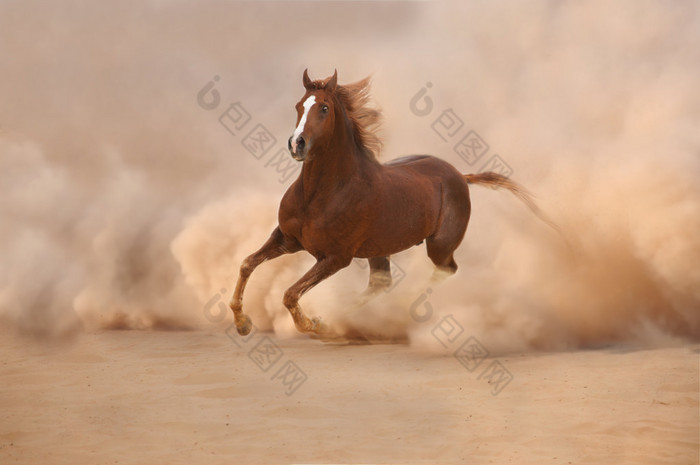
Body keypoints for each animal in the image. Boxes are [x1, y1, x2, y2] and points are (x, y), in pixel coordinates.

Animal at [230, 70, 552, 338]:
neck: (320, 194)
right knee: (380, 284)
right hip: (379, 250)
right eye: (298, 106)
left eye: (324, 108)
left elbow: (290, 293)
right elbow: (247, 264)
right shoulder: (287, 239)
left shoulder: (335, 257)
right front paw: (242, 323)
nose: (297, 144)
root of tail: (460, 175)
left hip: (440, 246)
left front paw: (315, 324)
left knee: (445, 271)